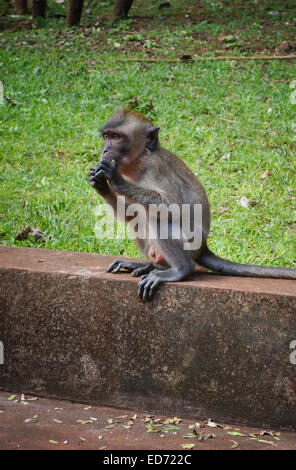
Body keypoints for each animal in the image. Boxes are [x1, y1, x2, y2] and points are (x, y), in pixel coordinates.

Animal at [89, 109, 296, 300]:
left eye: (116, 137)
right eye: (106, 136)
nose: (104, 150)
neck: (139, 160)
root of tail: (202, 246)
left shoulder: (154, 167)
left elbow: (172, 207)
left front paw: (116, 180)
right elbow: (130, 214)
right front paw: (101, 185)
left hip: (189, 242)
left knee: (155, 217)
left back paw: (180, 269)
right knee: (141, 217)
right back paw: (149, 265)